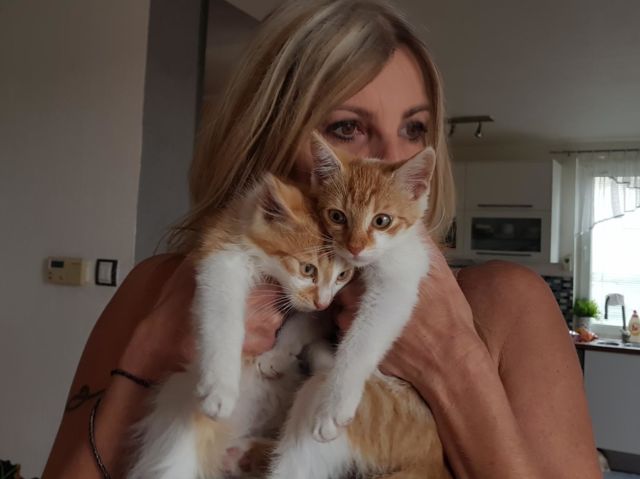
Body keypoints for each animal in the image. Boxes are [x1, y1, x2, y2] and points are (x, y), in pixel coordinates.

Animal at [126, 173, 353, 479]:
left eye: (342, 276)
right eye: (308, 269)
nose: (323, 301)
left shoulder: (322, 311)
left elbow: (305, 323)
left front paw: (276, 356)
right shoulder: (222, 258)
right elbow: (223, 318)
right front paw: (220, 386)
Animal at [262, 134, 452, 479]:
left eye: (382, 221)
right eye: (337, 216)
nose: (355, 247)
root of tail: (433, 462)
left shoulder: (399, 279)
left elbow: (363, 339)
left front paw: (335, 404)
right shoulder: (331, 293)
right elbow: (308, 319)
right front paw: (278, 354)